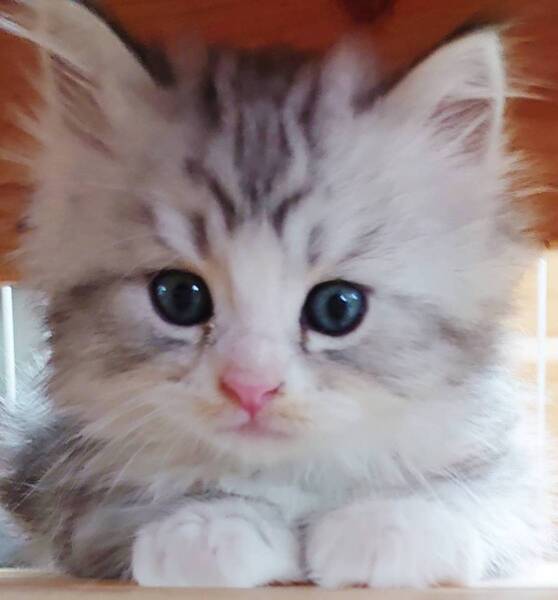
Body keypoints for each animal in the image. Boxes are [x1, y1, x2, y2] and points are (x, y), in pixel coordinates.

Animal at [0, 0, 551, 588]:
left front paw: (391, 522)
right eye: (180, 298)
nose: (251, 388)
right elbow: (117, 511)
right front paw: (209, 525)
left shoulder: (520, 465)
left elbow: (493, 493)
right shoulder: (62, 480)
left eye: (337, 307)